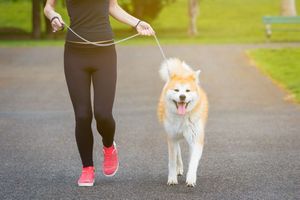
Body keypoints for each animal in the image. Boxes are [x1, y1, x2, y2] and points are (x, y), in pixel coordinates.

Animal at [157, 57, 209, 188]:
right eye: (176, 90)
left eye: (187, 90)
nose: (182, 96)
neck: (183, 117)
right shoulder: (171, 137)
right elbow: (172, 161)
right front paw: (172, 178)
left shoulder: (196, 139)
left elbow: (193, 161)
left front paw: (191, 178)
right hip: (174, 136)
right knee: (178, 151)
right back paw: (179, 168)